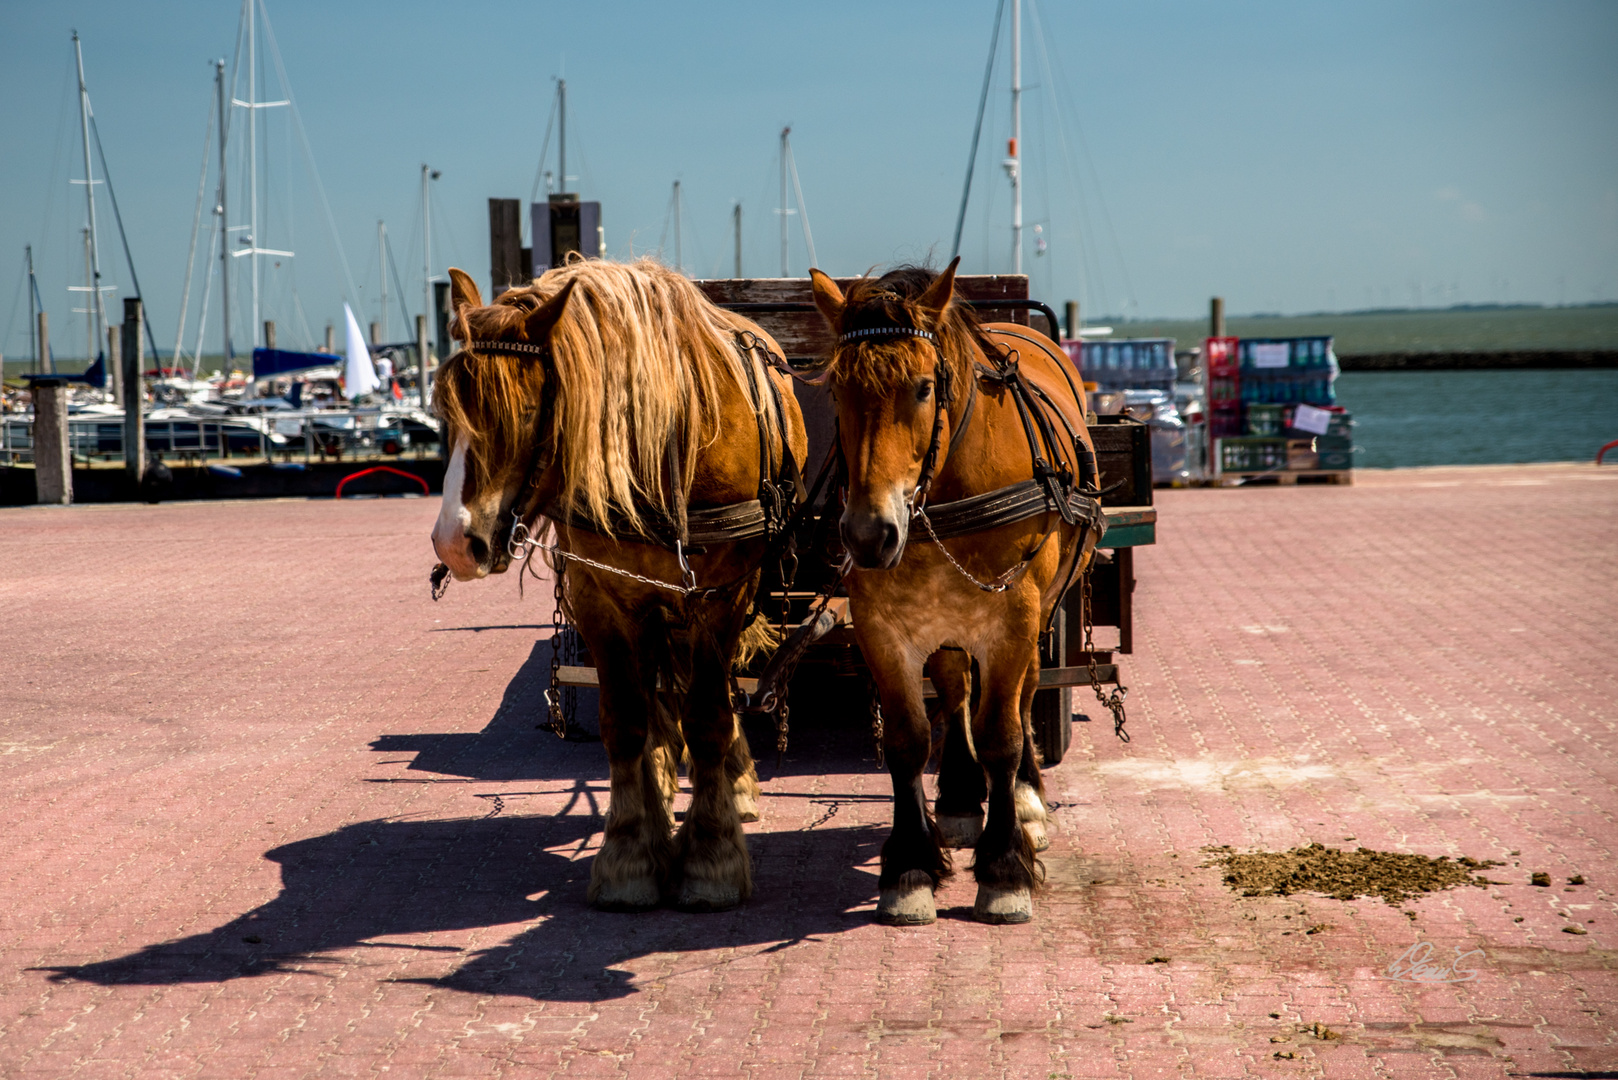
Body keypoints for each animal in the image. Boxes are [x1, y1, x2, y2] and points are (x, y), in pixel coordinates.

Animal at [430, 259, 809, 913]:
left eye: (522, 413)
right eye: (445, 414)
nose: (454, 541)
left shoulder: (719, 597)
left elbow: (709, 714)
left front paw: (711, 856)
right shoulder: (602, 596)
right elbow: (626, 719)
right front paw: (630, 850)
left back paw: (730, 785)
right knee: (658, 696)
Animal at [809, 257, 1100, 926]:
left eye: (922, 387)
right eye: (837, 390)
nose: (869, 533)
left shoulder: (1014, 613)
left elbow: (1001, 733)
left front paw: (1005, 868)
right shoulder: (880, 624)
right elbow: (908, 741)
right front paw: (910, 866)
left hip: (1039, 607)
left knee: (1023, 693)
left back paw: (1024, 798)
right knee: (954, 683)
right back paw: (965, 797)